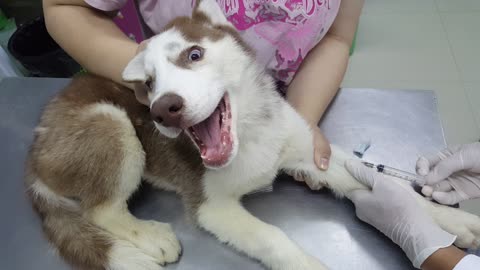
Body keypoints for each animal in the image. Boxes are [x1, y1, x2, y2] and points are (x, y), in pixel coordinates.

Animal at [25, 1, 480, 268]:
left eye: (194, 54)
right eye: (148, 83)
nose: (161, 109)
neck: (250, 134)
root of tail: (34, 153)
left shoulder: (308, 152)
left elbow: (384, 184)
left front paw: (451, 219)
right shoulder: (212, 206)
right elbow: (274, 238)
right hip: (112, 124)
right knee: (100, 211)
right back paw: (148, 240)